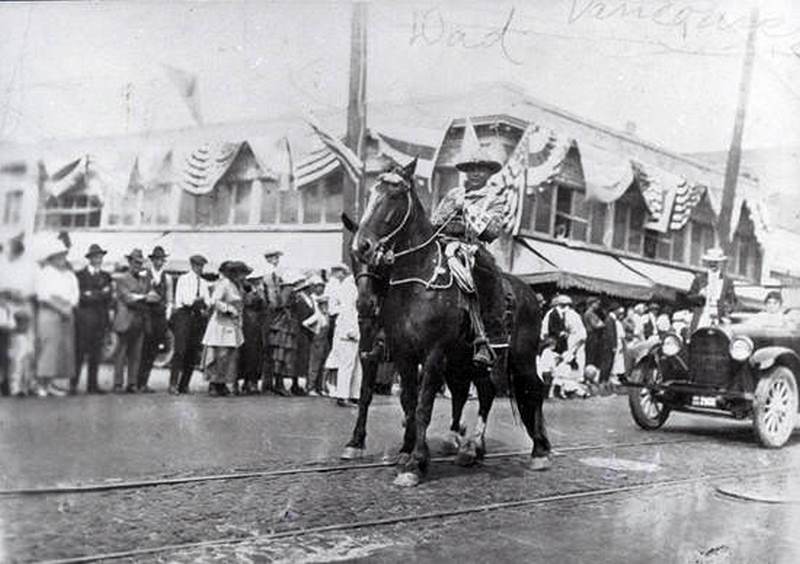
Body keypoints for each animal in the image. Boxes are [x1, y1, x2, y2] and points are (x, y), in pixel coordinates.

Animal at [354, 159, 552, 484]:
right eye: (371, 192)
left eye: (394, 195)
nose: (363, 246)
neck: (419, 283)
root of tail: (530, 293)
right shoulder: (403, 354)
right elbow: (409, 402)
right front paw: (407, 453)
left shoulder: (433, 354)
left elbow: (424, 405)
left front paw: (415, 465)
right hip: (471, 360)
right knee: (486, 392)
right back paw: (472, 450)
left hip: (521, 356)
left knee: (532, 389)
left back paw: (539, 452)